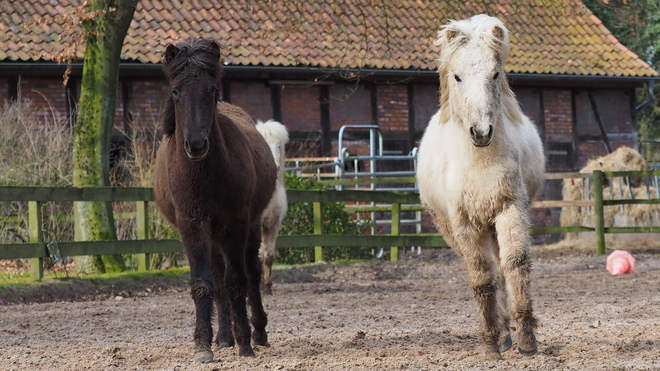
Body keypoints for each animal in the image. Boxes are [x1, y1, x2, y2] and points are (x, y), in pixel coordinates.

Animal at [153, 39, 278, 362]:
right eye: (176, 91)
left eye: (212, 90)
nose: (196, 145)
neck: (205, 175)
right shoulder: (192, 224)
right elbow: (204, 284)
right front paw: (203, 345)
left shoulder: (237, 223)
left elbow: (238, 281)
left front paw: (245, 343)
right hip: (213, 234)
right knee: (219, 280)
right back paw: (224, 337)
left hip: (248, 228)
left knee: (251, 273)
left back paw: (257, 332)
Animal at [420, 16, 544, 362]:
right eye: (457, 76)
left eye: (495, 74)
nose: (481, 132)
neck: (480, 163)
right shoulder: (464, 222)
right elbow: (481, 276)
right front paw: (492, 343)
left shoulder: (510, 208)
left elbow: (514, 265)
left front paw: (526, 339)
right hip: (454, 228)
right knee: (486, 270)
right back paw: (501, 335)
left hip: (492, 223)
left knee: (501, 268)